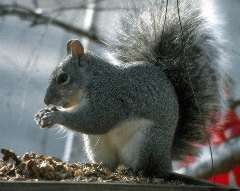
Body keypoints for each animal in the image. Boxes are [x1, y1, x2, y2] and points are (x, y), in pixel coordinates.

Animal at [33, 0, 221, 177]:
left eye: (63, 78)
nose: (46, 101)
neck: (92, 79)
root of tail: (166, 160)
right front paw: (44, 113)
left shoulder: (108, 98)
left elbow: (95, 121)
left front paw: (54, 116)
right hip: (98, 146)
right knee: (110, 163)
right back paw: (98, 168)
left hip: (146, 142)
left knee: (147, 168)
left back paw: (136, 171)